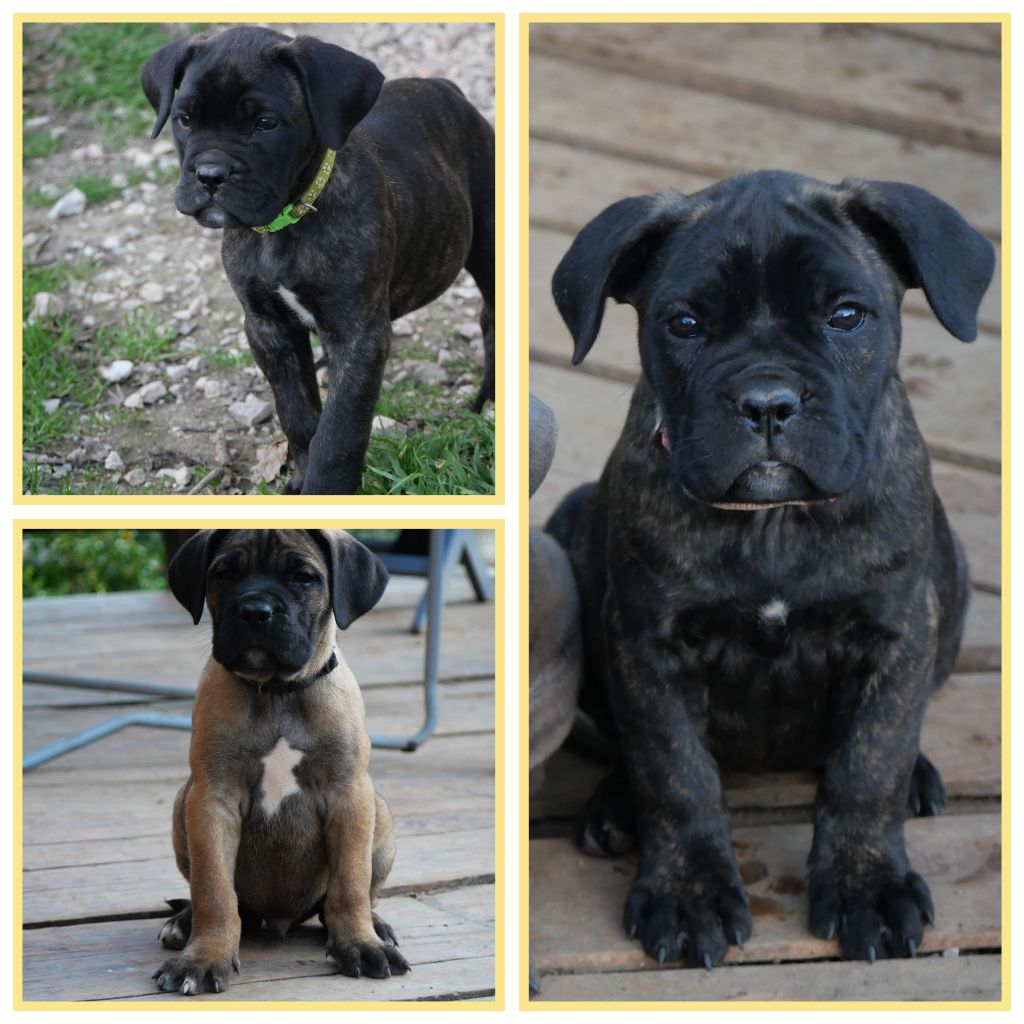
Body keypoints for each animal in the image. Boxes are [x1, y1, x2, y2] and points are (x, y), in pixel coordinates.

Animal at [142, 28, 493, 495]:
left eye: (265, 124)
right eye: (184, 119)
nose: (210, 175)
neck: (285, 225)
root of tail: (447, 88)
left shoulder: (358, 338)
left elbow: (340, 430)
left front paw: (327, 489)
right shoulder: (268, 328)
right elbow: (298, 412)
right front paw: (300, 478)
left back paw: (486, 403)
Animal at [151, 532, 407, 995]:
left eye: (303, 577)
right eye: (223, 574)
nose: (255, 611)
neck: (275, 692)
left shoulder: (350, 796)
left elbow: (350, 884)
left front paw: (361, 945)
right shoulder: (211, 800)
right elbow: (214, 889)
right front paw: (204, 957)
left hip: (380, 812)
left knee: (353, 895)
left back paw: (375, 927)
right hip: (183, 803)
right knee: (223, 900)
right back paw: (184, 922)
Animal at [548, 174, 995, 966]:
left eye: (847, 316)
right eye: (684, 324)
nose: (765, 401)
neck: (776, 522)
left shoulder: (897, 635)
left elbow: (869, 764)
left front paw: (867, 884)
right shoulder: (648, 647)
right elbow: (675, 770)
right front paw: (688, 893)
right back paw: (613, 807)